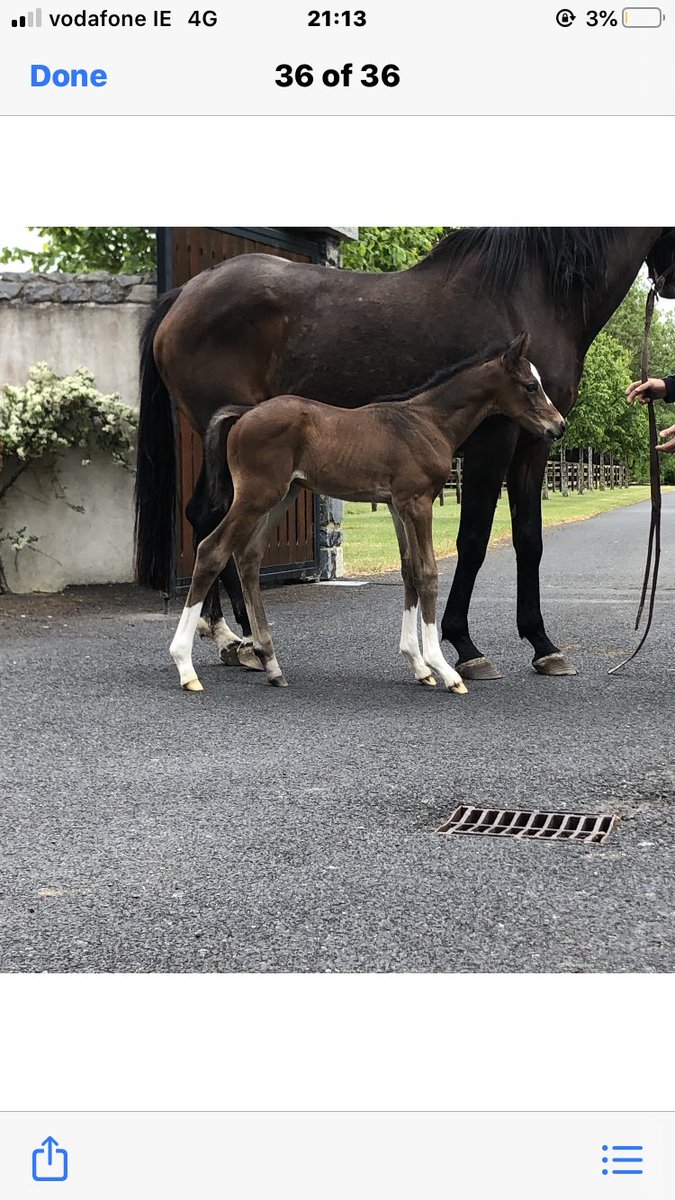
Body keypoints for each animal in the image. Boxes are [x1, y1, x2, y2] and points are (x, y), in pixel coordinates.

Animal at [169, 335, 565, 695]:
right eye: (531, 386)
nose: (558, 426)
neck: (427, 421)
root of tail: (244, 414)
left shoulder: (396, 505)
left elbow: (409, 572)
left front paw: (418, 665)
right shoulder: (418, 502)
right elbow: (428, 574)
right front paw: (444, 669)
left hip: (282, 495)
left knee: (248, 557)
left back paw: (272, 665)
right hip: (257, 495)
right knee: (212, 550)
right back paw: (186, 665)